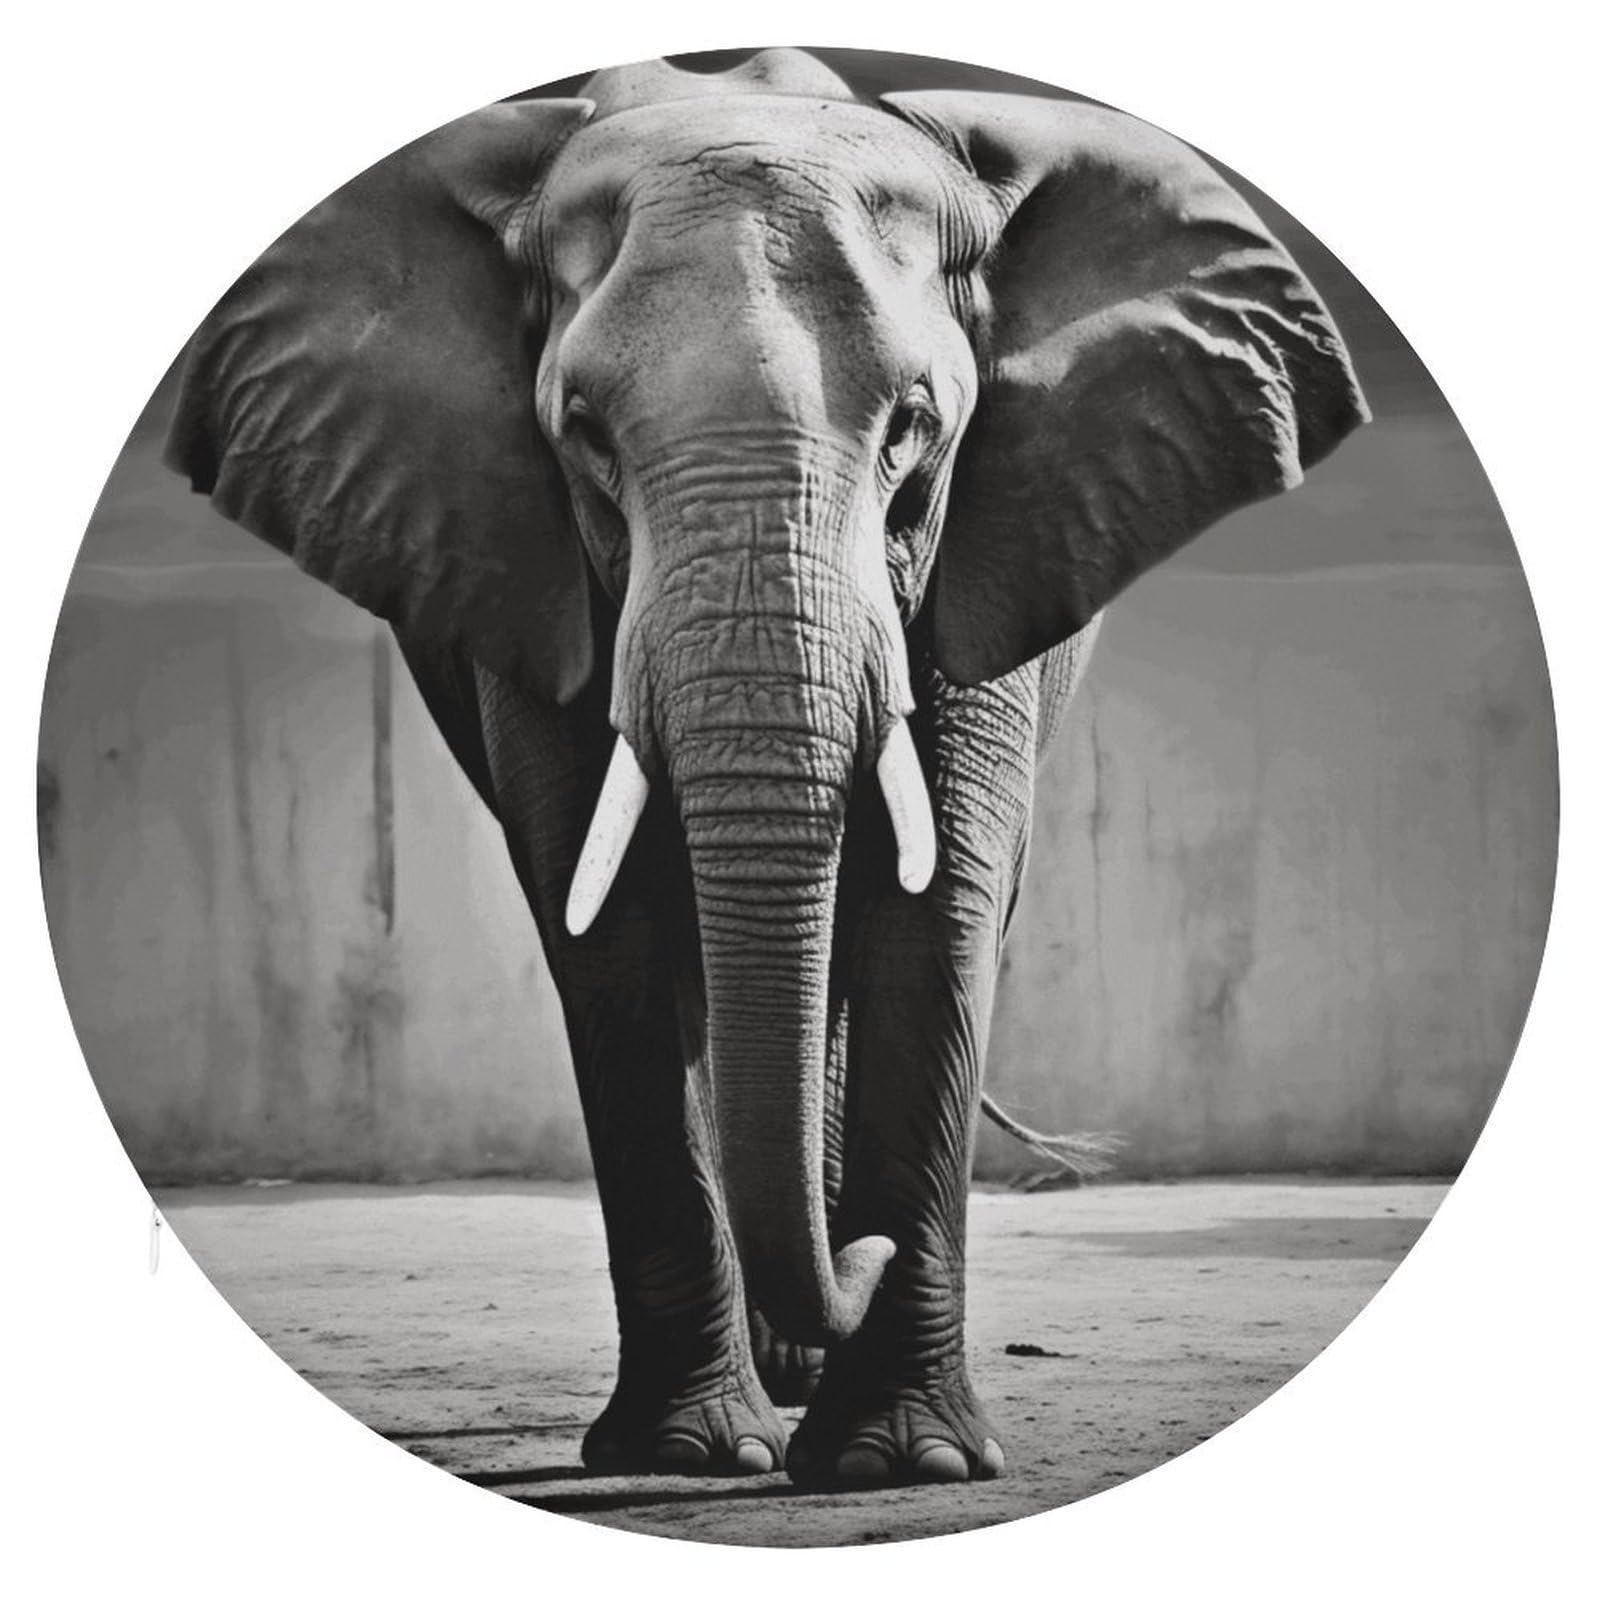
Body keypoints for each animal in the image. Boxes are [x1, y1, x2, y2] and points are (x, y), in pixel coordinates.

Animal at [163, 49, 1368, 1488]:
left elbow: (932, 906)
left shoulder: (991, 539)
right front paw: (690, 1454)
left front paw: (903, 1463)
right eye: (585, 435)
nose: (868, 1254)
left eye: (914, 429)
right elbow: (610, 926)